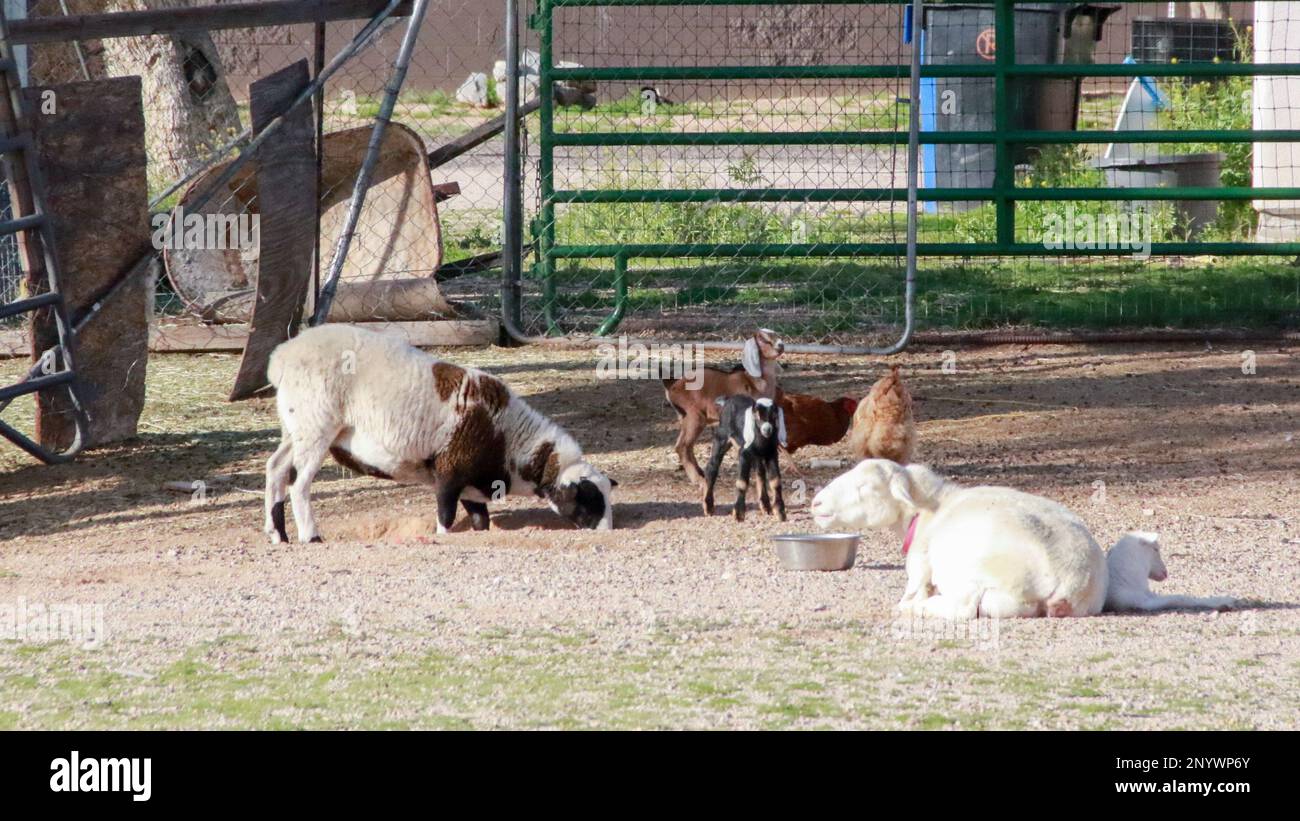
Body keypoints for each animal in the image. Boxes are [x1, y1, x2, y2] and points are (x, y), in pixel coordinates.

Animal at [811, 459, 1237, 618]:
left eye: (866, 487)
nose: (815, 502)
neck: (931, 510)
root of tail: (1071, 584)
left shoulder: (919, 566)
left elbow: (913, 591)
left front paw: (911, 602)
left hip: (982, 580)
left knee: (962, 608)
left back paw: (922, 608)